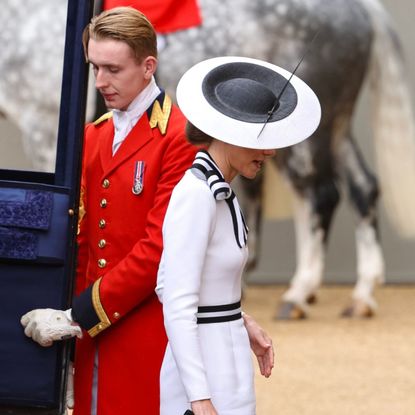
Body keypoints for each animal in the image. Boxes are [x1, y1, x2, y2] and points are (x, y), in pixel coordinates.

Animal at [2, 0, 415, 318]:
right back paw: (360, 295)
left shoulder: (45, 126)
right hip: (335, 124)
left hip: (307, 132)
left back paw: (298, 293)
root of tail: (361, 9)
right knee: (362, 188)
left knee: (319, 194)